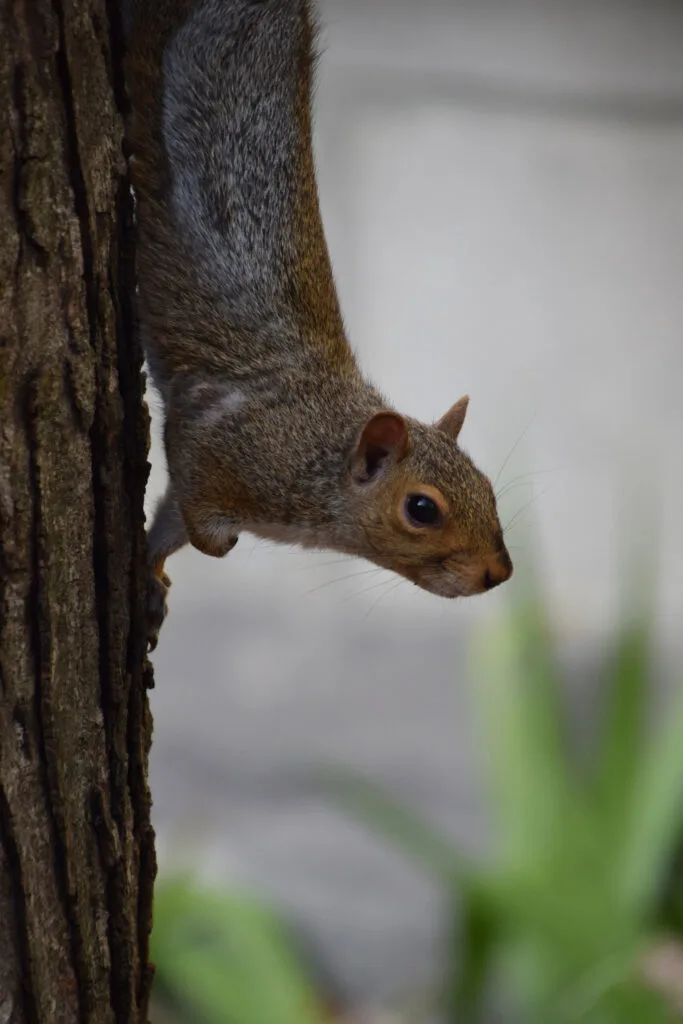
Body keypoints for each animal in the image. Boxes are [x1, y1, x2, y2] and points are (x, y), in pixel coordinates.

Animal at [124, 0, 513, 650]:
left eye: (486, 487)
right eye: (422, 509)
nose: (499, 574)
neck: (319, 448)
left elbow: (166, 525)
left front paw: (152, 577)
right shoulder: (220, 445)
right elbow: (195, 509)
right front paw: (203, 549)